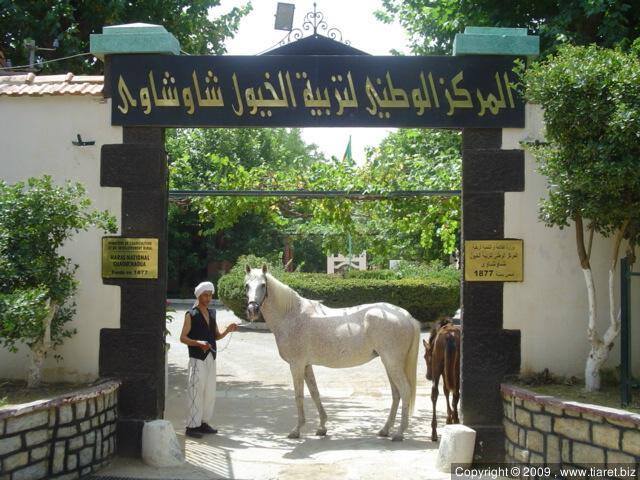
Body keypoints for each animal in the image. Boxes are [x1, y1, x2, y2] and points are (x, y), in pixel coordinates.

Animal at [244, 264, 420, 440]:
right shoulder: (306, 365)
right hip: (389, 363)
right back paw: (385, 430)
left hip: (392, 363)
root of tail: (406, 316)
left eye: (263, 285)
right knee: (396, 393)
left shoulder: (296, 365)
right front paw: (322, 427)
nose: (252, 310)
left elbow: (298, 395)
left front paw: (297, 430)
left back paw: (399, 433)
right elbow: (314, 393)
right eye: (246, 285)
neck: (291, 315)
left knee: (405, 391)